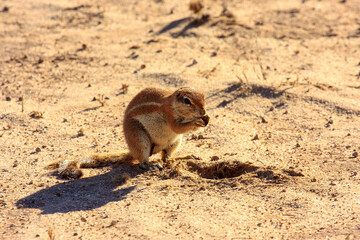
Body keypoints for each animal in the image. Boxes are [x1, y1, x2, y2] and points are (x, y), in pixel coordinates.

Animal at [49, 87, 210, 179]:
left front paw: (206, 119)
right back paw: (151, 166)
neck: (172, 104)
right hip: (140, 138)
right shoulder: (169, 114)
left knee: (166, 158)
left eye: (204, 97)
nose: (203, 111)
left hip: (175, 142)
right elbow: (177, 127)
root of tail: (133, 151)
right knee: (143, 163)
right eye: (187, 101)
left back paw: (185, 157)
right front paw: (196, 122)